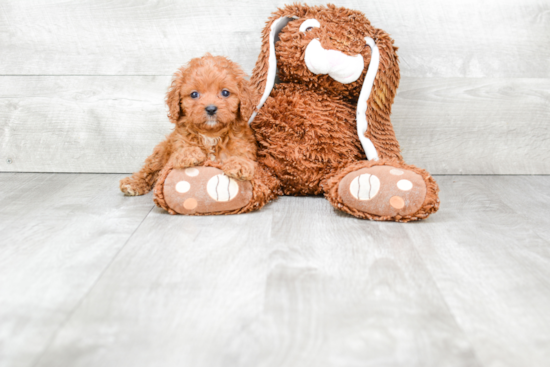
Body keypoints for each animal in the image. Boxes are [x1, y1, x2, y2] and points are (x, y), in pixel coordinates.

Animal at [119, 54, 258, 197]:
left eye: (225, 93)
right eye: (194, 94)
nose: (211, 109)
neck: (211, 134)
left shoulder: (242, 143)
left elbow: (243, 155)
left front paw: (240, 164)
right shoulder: (178, 142)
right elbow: (182, 149)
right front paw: (189, 153)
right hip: (161, 151)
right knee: (150, 168)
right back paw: (134, 183)